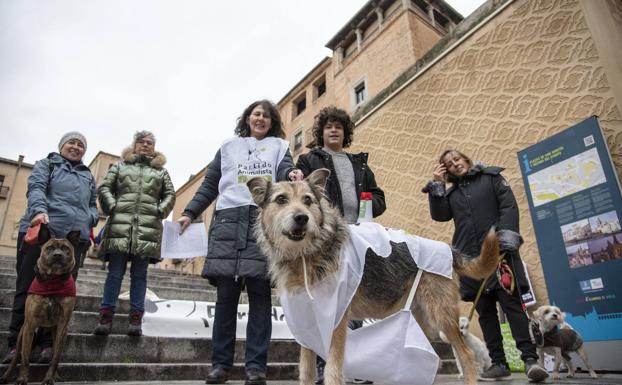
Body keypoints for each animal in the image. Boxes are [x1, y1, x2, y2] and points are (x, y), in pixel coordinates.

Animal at [0, 231, 80, 384]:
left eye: (65, 248)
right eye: (50, 248)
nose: (58, 255)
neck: (53, 281)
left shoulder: (62, 326)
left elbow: (55, 358)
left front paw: (49, 378)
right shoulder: (30, 325)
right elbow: (25, 358)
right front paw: (22, 379)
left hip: (56, 333)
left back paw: (55, 375)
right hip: (22, 334)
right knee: (16, 358)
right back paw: (6, 375)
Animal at [249, 169, 502, 384]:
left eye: (308, 200)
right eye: (281, 199)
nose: (302, 218)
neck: (307, 253)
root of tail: (450, 250)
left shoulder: (337, 322)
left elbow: (332, 370)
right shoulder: (307, 326)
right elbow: (306, 372)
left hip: (442, 315)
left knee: (466, 355)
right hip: (420, 318)